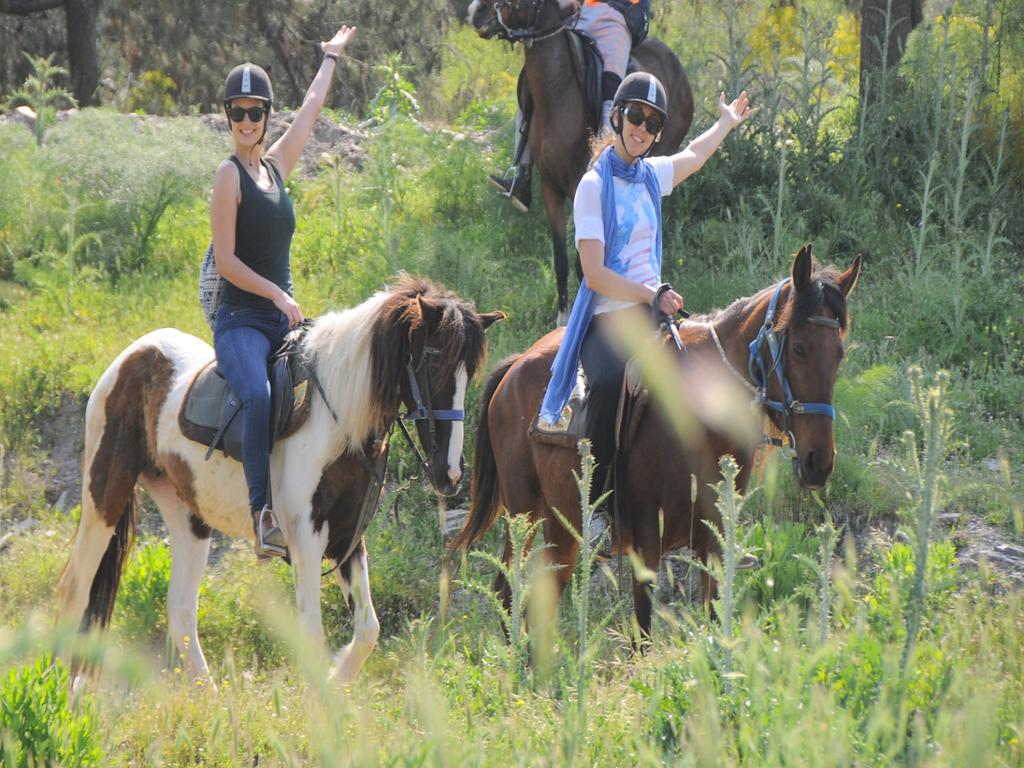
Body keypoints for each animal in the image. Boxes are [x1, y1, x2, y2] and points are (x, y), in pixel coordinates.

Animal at [58, 276, 503, 686]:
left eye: (468, 374)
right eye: (434, 363)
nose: (450, 473)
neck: (336, 422)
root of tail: (133, 355)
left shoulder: (347, 538)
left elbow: (367, 631)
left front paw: (335, 685)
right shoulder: (307, 540)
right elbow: (313, 635)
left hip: (187, 516)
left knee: (180, 609)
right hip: (104, 496)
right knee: (76, 588)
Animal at [451, 246, 861, 639]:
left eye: (839, 354)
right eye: (799, 348)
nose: (819, 462)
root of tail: (514, 367)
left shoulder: (714, 543)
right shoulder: (646, 542)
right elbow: (643, 636)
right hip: (527, 514)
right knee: (511, 590)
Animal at [468, 0, 694, 324]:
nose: (476, 12)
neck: (558, 93)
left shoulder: (581, 188)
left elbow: (583, 265)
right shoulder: (550, 188)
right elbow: (561, 260)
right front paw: (562, 318)